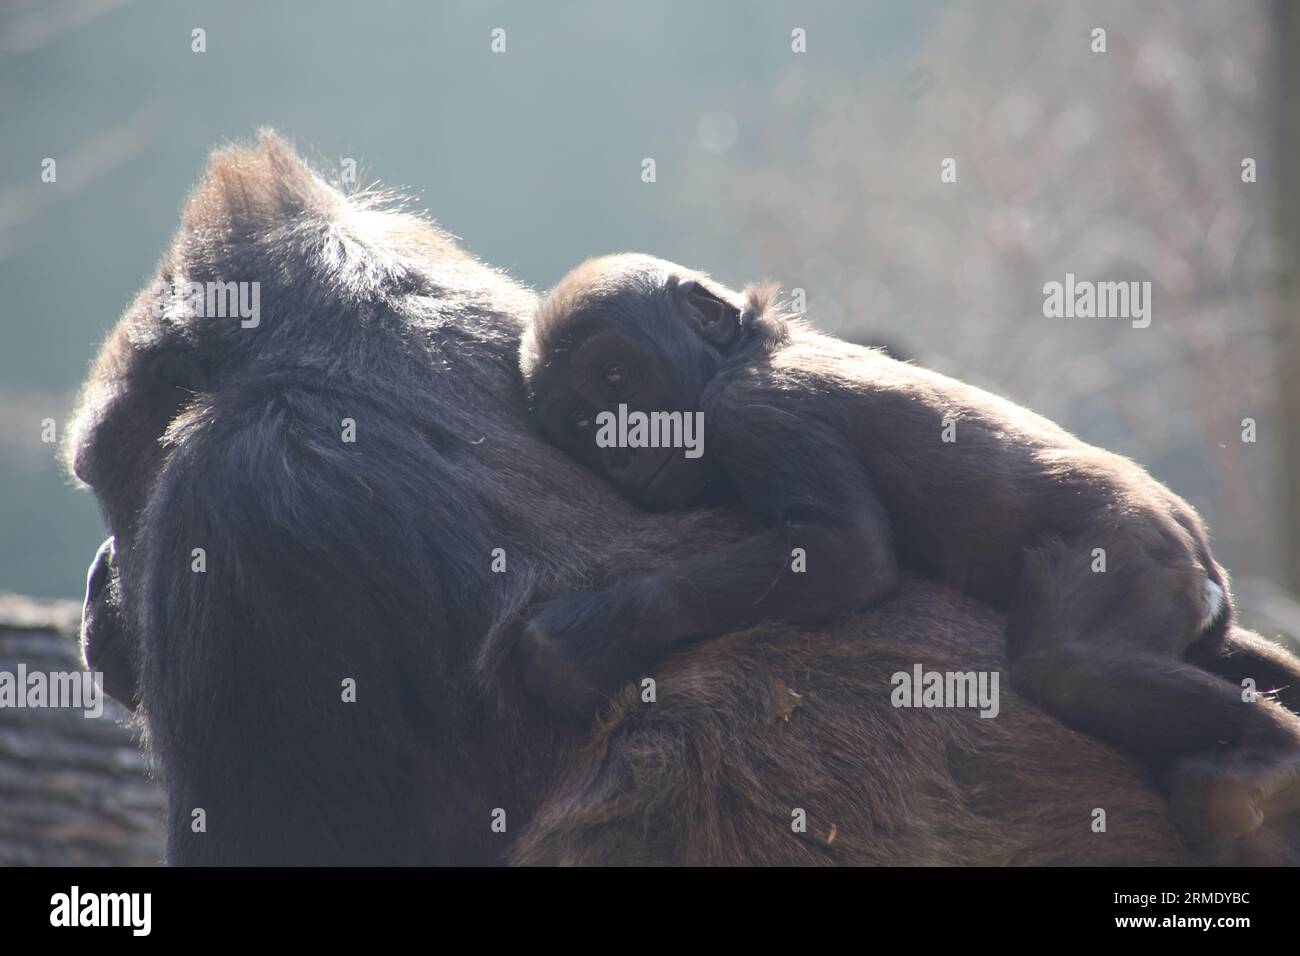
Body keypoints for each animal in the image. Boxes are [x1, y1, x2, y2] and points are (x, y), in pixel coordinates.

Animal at [518, 252, 1300, 849]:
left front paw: (589, 635)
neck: (745, 348)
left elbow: (845, 552)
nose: (622, 448)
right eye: (584, 423)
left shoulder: (756, 409)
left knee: (1069, 664)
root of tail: (1203, 555)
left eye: (616, 377)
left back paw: (1266, 754)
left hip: (1135, 544)